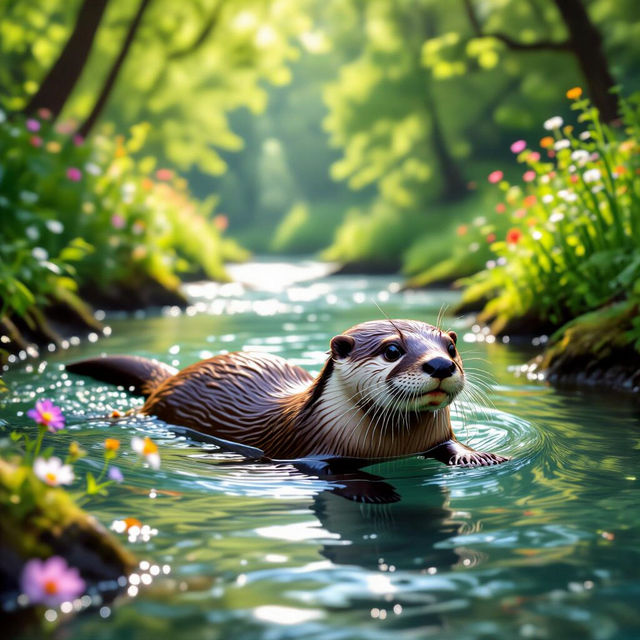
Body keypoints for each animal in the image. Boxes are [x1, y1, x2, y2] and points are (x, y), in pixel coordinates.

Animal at [67, 320, 507, 467]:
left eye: (450, 347)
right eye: (392, 350)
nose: (440, 365)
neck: (394, 448)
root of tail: (173, 376)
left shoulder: (434, 438)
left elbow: (450, 444)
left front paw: (478, 456)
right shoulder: (313, 451)